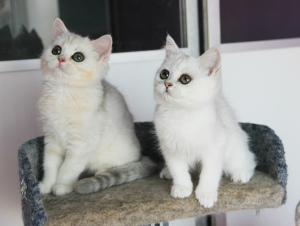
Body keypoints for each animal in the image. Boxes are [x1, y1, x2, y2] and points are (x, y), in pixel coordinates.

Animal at [38, 18, 156, 196]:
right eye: (56, 50)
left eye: (78, 57)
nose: (60, 59)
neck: (63, 93)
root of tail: (142, 156)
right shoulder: (51, 140)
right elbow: (50, 165)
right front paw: (47, 186)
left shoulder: (81, 146)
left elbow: (67, 168)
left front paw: (61, 187)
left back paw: (101, 172)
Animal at [155, 35, 255, 208]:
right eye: (164, 74)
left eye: (185, 79)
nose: (167, 84)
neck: (180, 113)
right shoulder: (170, 150)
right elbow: (179, 171)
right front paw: (182, 188)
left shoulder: (215, 150)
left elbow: (209, 175)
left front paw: (206, 195)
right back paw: (167, 172)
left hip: (234, 152)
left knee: (249, 161)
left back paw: (240, 174)